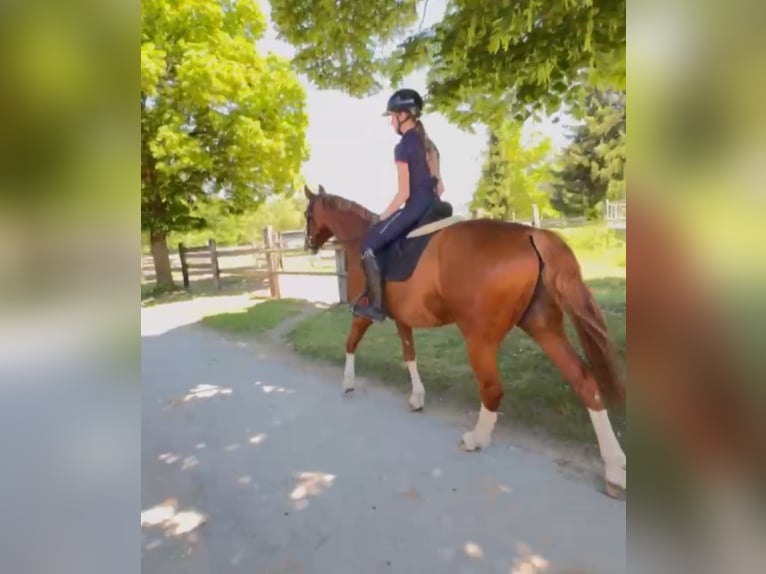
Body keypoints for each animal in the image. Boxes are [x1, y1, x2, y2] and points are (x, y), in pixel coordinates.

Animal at [302, 184, 626, 498]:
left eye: (307, 214)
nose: (308, 245)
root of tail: (530, 234)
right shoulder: (404, 320)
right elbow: (409, 355)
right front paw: (417, 397)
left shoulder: (364, 314)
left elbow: (351, 343)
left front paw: (348, 383)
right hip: (543, 327)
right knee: (584, 381)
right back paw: (614, 468)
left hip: (480, 339)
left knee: (493, 390)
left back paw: (476, 438)